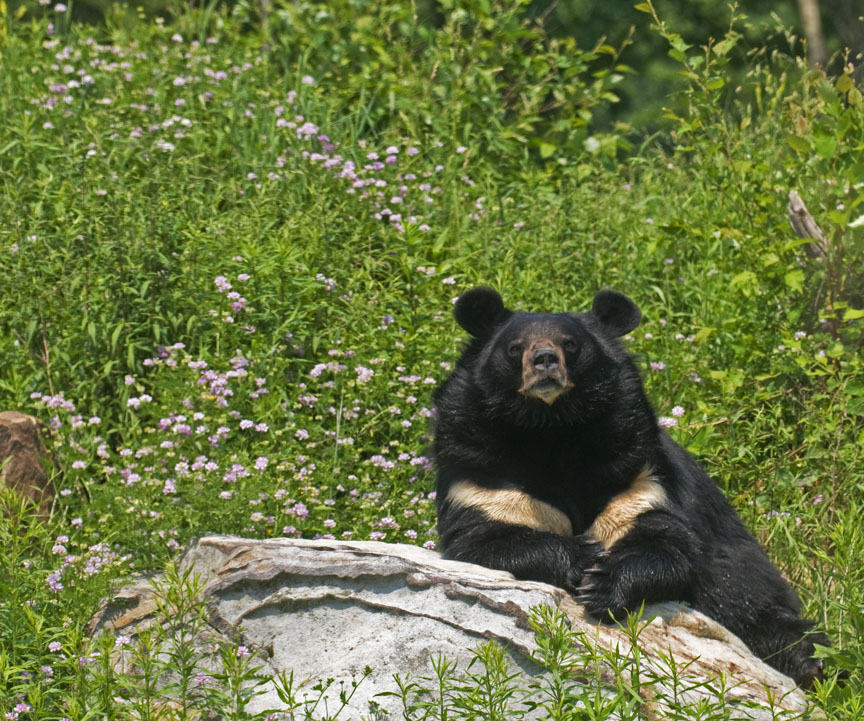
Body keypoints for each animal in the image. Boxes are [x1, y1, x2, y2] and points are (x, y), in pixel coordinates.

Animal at [433, 286, 827, 688]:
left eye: (570, 344)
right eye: (515, 348)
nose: (545, 360)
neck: (551, 426)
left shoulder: (635, 474)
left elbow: (665, 543)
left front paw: (602, 583)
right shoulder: (482, 473)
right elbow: (486, 539)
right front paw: (584, 557)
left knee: (765, 616)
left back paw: (811, 666)